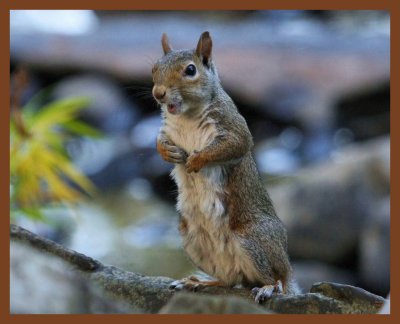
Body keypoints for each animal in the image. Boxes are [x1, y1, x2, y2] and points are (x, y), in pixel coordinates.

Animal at [152, 31, 298, 302]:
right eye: (154, 67)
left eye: (190, 70)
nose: (158, 93)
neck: (186, 115)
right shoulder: (166, 129)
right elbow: (159, 142)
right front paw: (168, 152)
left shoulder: (233, 126)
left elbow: (234, 145)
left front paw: (196, 160)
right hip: (193, 241)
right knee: (230, 281)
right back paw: (200, 282)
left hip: (255, 239)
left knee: (277, 279)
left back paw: (269, 287)